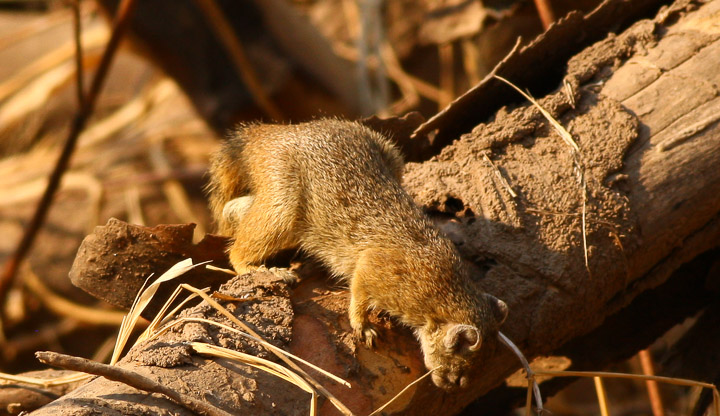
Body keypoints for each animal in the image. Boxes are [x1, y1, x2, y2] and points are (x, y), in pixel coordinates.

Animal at [206, 119, 508, 389]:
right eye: (458, 362)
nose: (452, 386)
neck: (442, 291)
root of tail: (270, 136)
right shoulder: (377, 267)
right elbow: (359, 294)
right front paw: (363, 326)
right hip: (282, 207)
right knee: (239, 248)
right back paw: (263, 270)